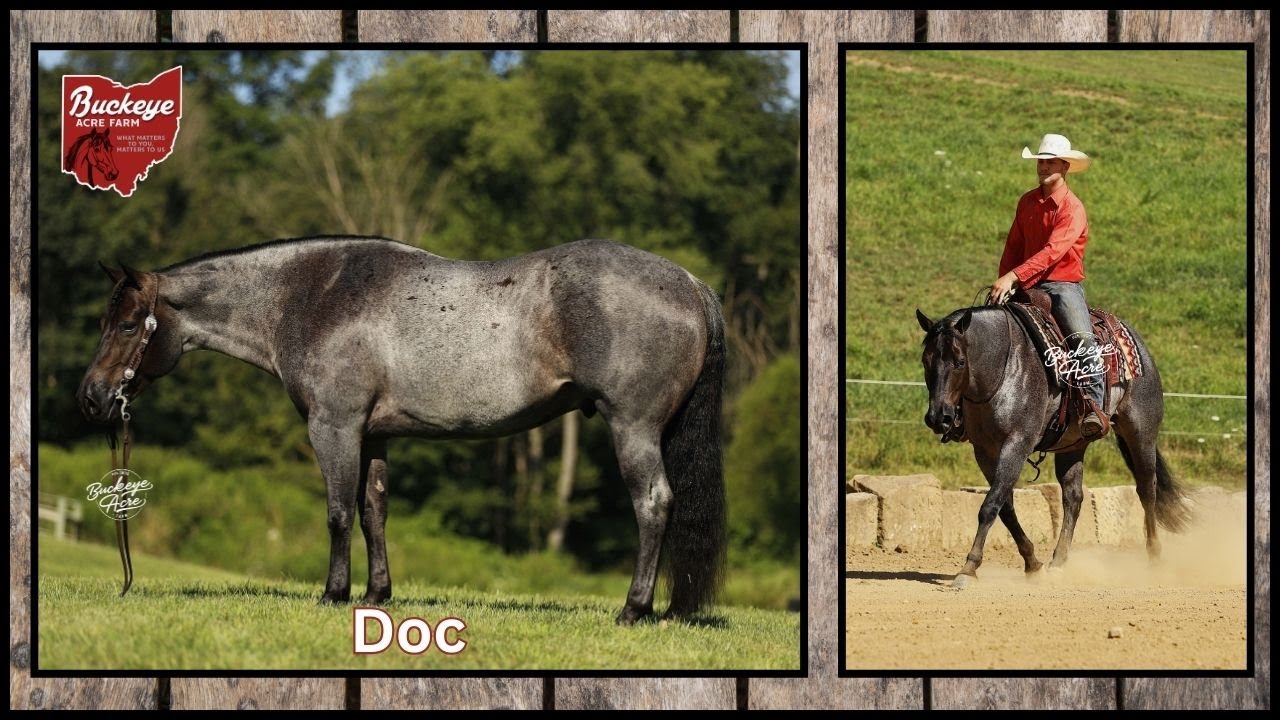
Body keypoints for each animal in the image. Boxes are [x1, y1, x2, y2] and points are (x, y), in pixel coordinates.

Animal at [77, 236, 727, 624]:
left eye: (129, 323)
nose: (92, 397)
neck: (311, 296)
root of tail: (691, 284)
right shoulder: (374, 436)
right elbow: (373, 512)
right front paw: (376, 594)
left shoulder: (334, 427)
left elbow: (338, 512)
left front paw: (334, 593)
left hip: (634, 428)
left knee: (654, 504)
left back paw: (634, 608)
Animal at [914, 305, 1189, 587]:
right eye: (925, 361)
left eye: (959, 362)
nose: (938, 417)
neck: (1005, 366)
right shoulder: (984, 451)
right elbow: (1005, 507)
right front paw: (1033, 564)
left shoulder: (1017, 443)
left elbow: (990, 506)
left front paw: (969, 568)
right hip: (1072, 446)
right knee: (1073, 498)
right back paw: (1058, 563)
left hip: (1141, 433)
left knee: (1146, 490)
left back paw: (1154, 557)